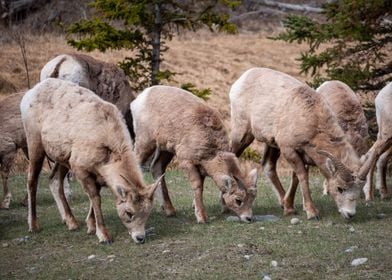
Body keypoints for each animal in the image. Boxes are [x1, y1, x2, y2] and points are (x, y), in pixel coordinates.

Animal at [19, 78, 161, 243]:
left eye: (147, 213)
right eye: (129, 212)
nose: (140, 238)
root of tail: (30, 93)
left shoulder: (97, 172)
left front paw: (91, 227)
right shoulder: (81, 169)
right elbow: (95, 198)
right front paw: (103, 236)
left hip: (62, 157)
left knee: (54, 179)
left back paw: (71, 223)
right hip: (35, 143)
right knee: (32, 180)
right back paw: (34, 226)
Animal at [131, 85, 258, 223]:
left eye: (253, 199)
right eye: (238, 200)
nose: (248, 218)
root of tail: (142, 97)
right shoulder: (187, 162)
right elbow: (197, 186)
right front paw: (202, 218)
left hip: (165, 149)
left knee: (157, 168)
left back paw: (169, 210)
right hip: (146, 142)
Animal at [230, 68, 368, 221]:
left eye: (358, 190)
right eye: (340, 188)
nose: (349, 214)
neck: (313, 120)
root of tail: (245, 76)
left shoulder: (303, 154)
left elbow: (295, 177)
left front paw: (289, 208)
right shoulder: (289, 150)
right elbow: (302, 176)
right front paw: (312, 213)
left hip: (271, 143)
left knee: (268, 165)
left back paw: (282, 202)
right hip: (242, 134)